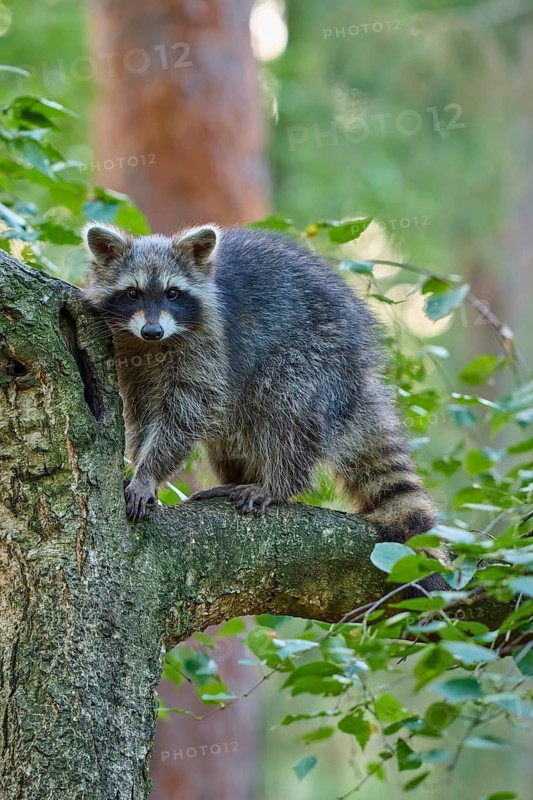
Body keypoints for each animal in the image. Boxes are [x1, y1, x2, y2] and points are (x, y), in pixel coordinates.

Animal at [82, 223, 446, 589]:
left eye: (173, 293)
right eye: (132, 293)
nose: (153, 330)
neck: (153, 346)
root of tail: (361, 371)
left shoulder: (209, 346)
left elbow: (187, 412)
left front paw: (149, 471)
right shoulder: (130, 357)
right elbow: (141, 415)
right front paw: (140, 463)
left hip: (315, 357)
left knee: (284, 413)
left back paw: (278, 483)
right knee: (232, 435)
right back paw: (236, 478)